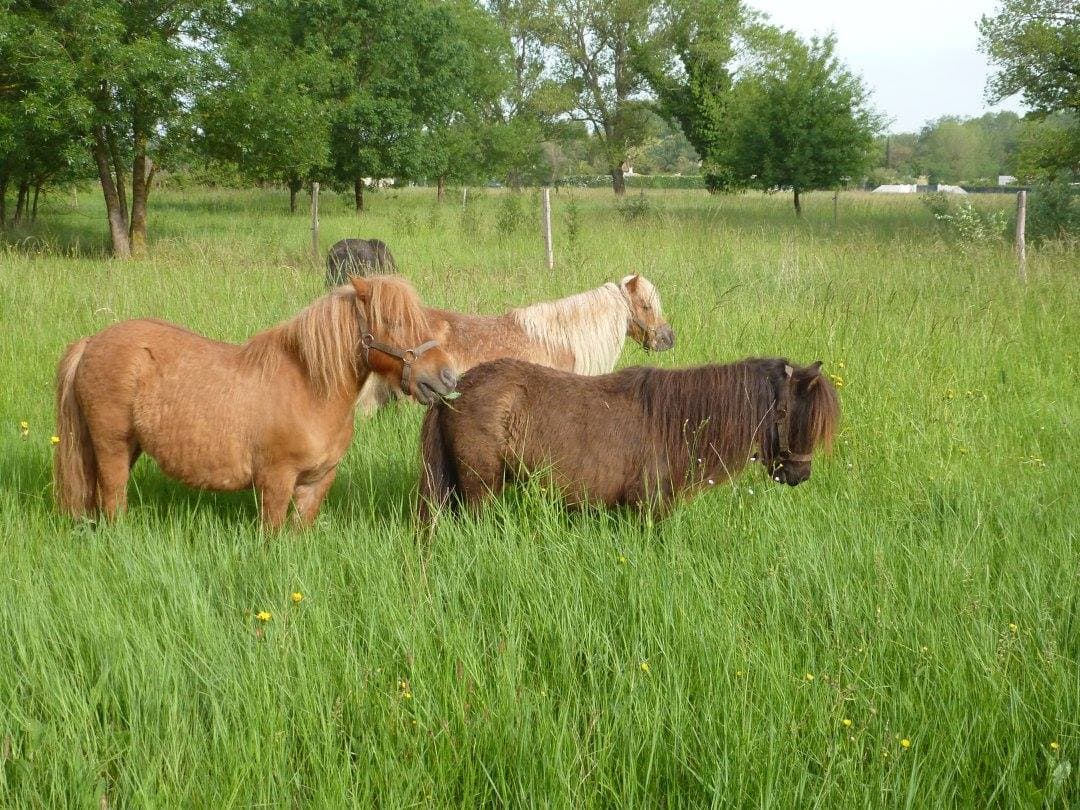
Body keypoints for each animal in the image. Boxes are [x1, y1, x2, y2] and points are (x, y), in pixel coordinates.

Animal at [54, 275, 457, 529]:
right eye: (393, 321)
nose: (447, 376)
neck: (309, 389)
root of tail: (91, 342)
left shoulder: (316, 483)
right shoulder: (275, 481)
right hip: (112, 447)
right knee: (112, 500)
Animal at [418, 357, 839, 523]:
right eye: (790, 416)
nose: (799, 475)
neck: (673, 421)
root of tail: (454, 392)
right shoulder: (647, 508)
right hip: (480, 488)